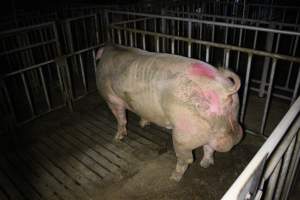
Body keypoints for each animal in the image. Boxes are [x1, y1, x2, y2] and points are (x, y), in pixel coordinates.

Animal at [96, 44, 244, 182]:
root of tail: (225, 91)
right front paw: (143, 124)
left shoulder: (111, 98)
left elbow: (121, 118)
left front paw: (117, 138)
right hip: (223, 120)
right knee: (209, 148)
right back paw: (204, 164)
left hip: (184, 132)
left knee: (187, 159)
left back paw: (174, 177)